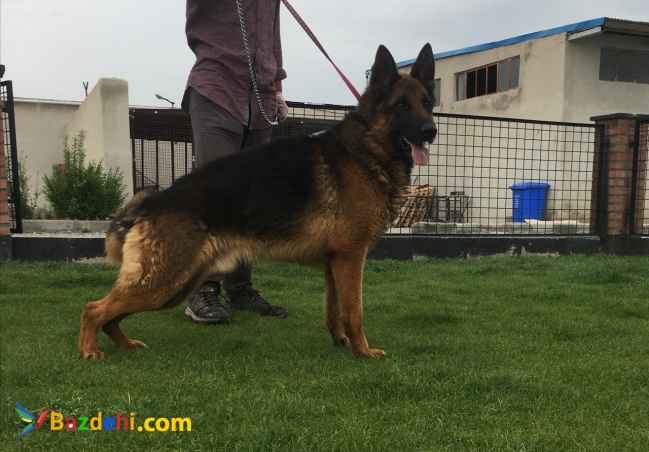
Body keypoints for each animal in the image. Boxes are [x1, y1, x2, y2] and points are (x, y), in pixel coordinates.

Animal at [79, 43, 437, 360]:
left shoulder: (335, 264)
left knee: (109, 314)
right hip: (164, 282)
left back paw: (124, 345)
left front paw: (341, 342)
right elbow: (355, 312)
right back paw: (89, 351)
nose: (431, 131)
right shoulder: (351, 259)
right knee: (93, 309)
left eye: (427, 103)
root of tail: (151, 203)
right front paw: (363, 352)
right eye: (402, 106)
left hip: (172, 285)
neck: (365, 149)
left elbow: (334, 310)